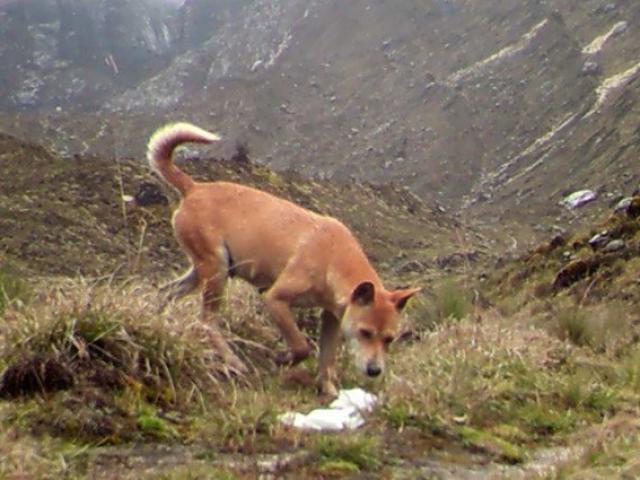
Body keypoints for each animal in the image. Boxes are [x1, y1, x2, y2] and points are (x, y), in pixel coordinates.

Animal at [148, 124, 422, 398]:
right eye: (365, 332)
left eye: (389, 339)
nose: (374, 371)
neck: (333, 258)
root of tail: (194, 188)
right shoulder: (275, 299)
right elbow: (302, 347)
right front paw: (284, 359)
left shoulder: (331, 319)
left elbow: (326, 358)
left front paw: (328, 390)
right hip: (216, 273)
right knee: (206, 322)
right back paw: (232, 361)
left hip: (204, 272)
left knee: (165, 293)